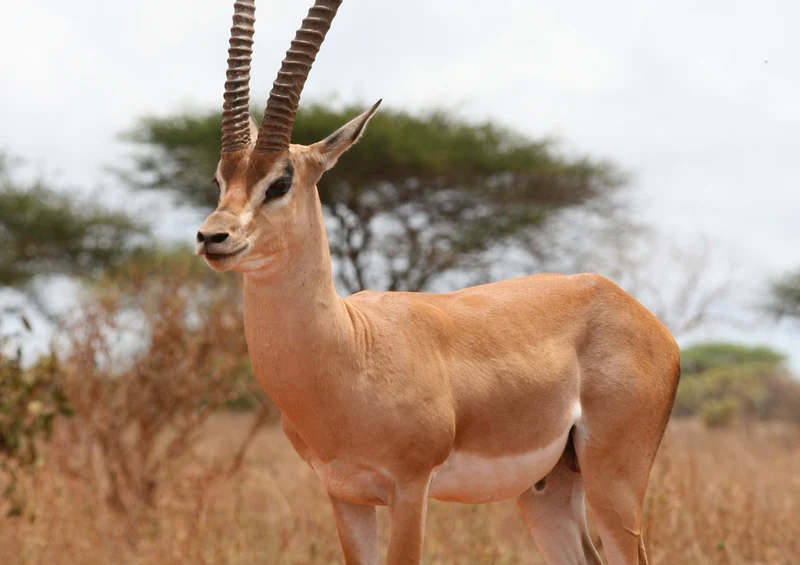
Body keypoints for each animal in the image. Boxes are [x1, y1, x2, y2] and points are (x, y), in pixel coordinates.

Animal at [196, 1, 681, 563]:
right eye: (219, 178)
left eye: (280, 181)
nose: (212, 237)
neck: (351, 346)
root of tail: (629, 306)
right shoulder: (344, 494)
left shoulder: (410, 489)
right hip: (546, 489)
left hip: (614, 485)